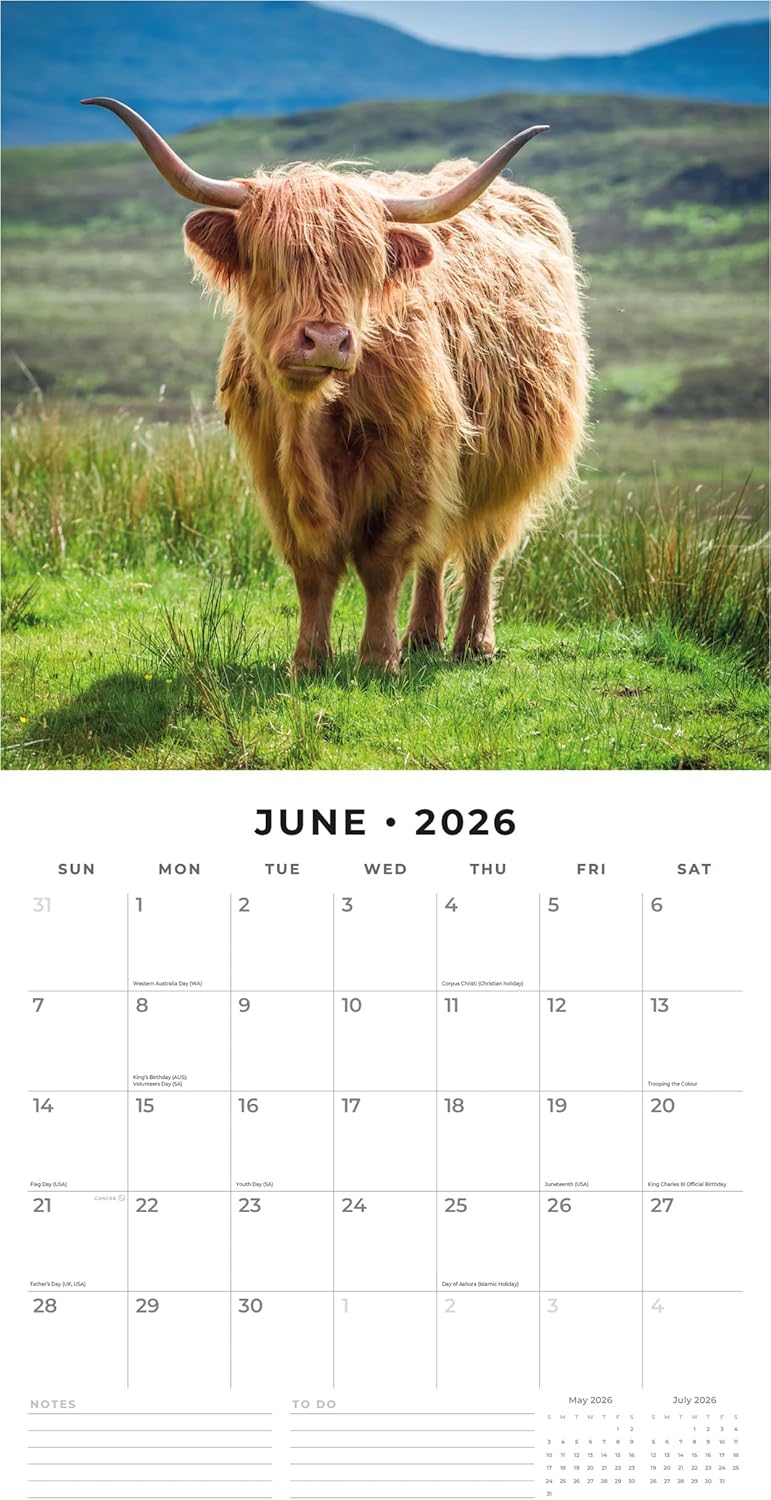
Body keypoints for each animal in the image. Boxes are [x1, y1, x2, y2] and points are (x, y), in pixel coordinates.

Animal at [84, 98, 589, 672]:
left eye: (364, 267)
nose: (325, 340)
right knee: (438, 551)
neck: (311, 420)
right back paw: (424, 636)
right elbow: (312, 568)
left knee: (482, 547)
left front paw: (378, 658)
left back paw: (473, 643)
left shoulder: (412, 463)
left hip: (505, 463)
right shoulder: (275, 475)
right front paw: (310, 659)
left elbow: (384, 562)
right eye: (273, 260)